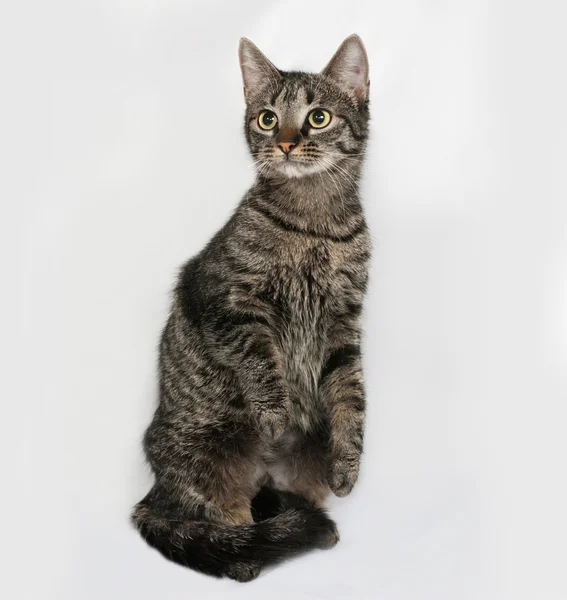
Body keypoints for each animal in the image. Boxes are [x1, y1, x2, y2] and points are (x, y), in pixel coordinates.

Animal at [133, 34, 372, 580]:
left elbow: (352, 400)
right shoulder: (228, 302)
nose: (284, 142)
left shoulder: (345, 324)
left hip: (297, 473)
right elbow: (261, 362)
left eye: (318, 117)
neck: (315, 224)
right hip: (205, 461)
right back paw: (244, 554)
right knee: (215, 517)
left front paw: (349, 463)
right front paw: (274, 417)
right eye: (267, 118)